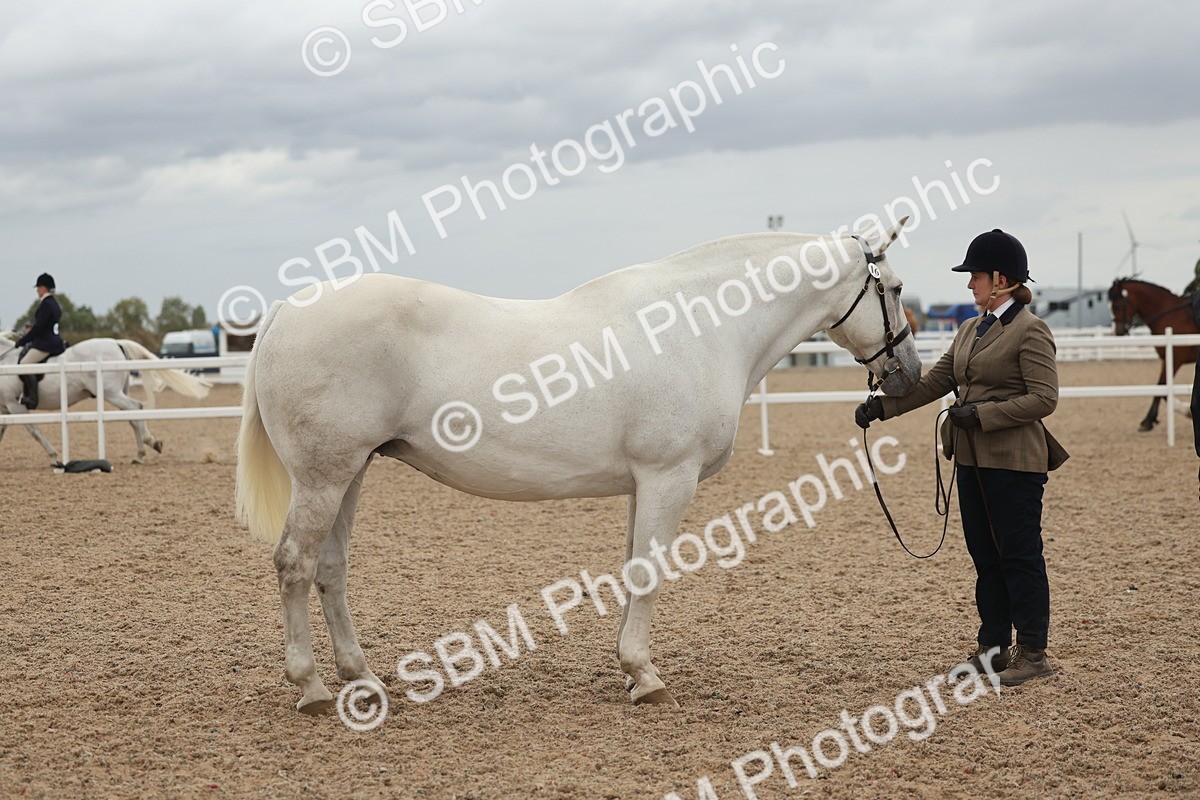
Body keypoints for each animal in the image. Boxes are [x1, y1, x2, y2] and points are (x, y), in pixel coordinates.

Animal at [0, 334, 212, 463]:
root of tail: (116, 343)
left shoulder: (15, 405)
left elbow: (34, 431)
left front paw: (54, 457)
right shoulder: (5, 408)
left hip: (111, 393)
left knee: (136, 408)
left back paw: (150, 443)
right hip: (119, 391)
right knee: (132, 416)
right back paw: (140, 454)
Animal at [236, 217, 922, 714]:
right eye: (893, 290)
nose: (908, 374)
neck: (698, 327)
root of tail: (287, 309)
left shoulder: (643, 484)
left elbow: (633, 568)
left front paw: (631, 671)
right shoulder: (669, 476)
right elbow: (650, 571)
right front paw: (646, 677)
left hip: (349, 473)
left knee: (330, 570)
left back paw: (364, 681)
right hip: (324, 477)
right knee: (294, 565)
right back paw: (313, 689)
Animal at [1108, 278, 1199, 431]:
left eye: (1117, 306)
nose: (1118, 332)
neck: (1168, 314)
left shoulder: (1175, 358)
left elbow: (1162, 387)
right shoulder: (1166, 358)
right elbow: (1160, 387)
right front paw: (1149, 420)